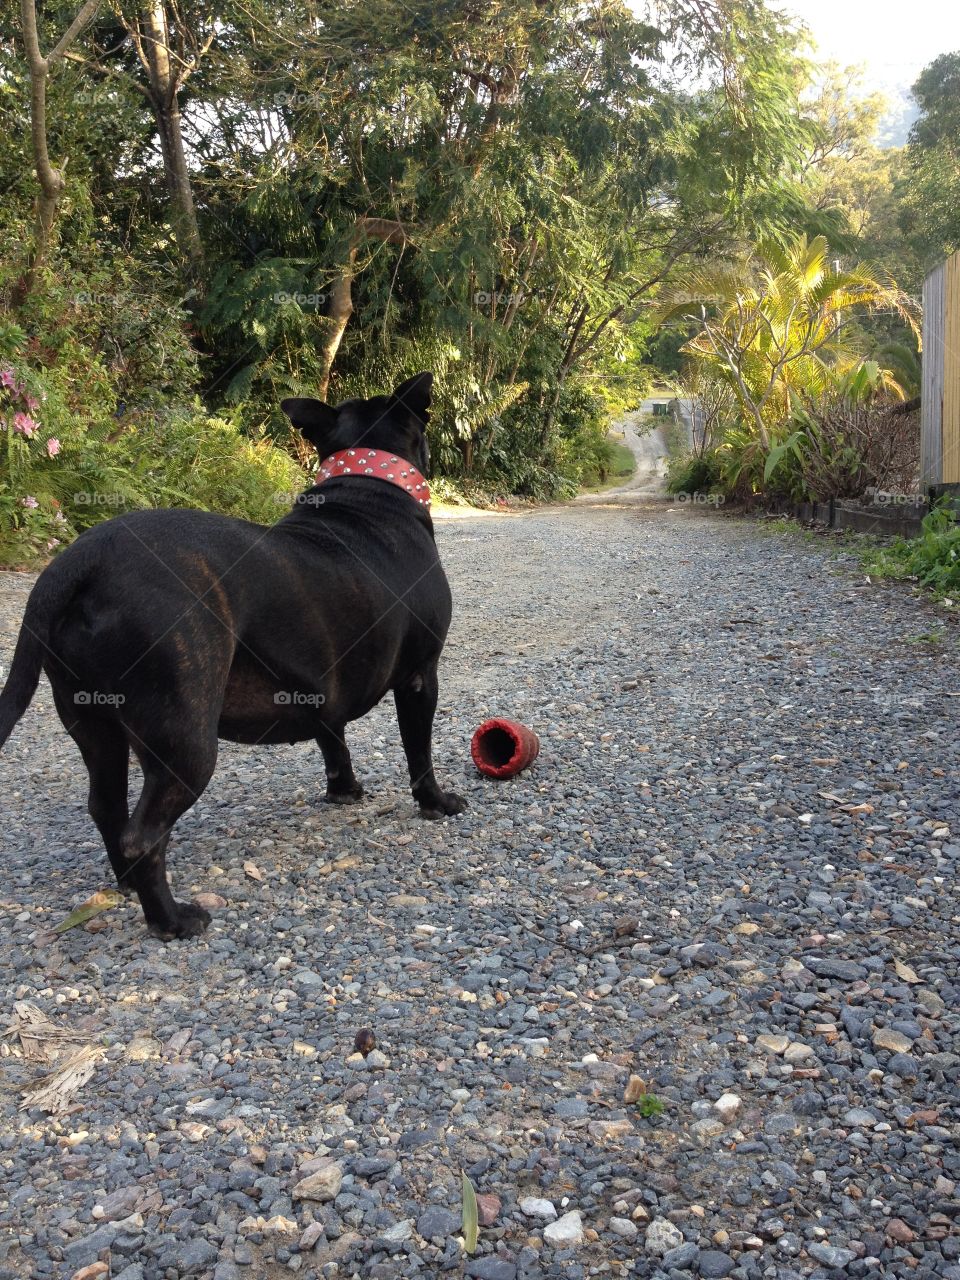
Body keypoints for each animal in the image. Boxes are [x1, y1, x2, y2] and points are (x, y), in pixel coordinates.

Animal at [0, 371, 465, 942]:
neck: (366, 489)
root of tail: (79, 561)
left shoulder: (320, 686)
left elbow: (334, 741)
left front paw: (345, 790)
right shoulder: (421, 677)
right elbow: (419, 753)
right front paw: (436, 803)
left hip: (94, 725)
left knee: (108, 810)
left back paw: (128, 884)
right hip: (186, 742)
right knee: (142, 834)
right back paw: (172, 919)